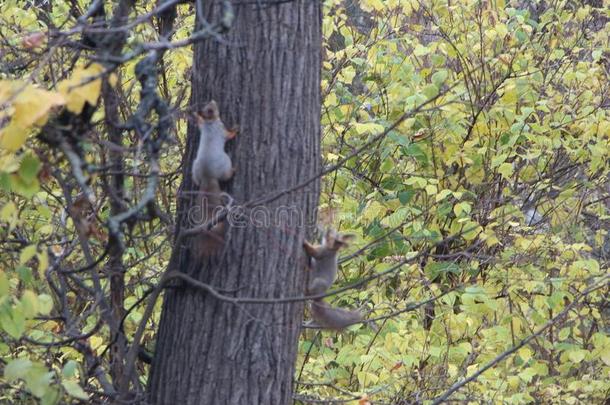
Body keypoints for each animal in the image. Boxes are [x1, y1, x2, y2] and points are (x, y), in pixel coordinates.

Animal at [190, 99, 235, 254]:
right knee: (226, 176)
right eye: (211, 109)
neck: (210, 123)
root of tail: (207, 175)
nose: (213, 100)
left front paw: (195, 116)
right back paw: (234, 170)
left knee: (196, 180)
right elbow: (229, 135)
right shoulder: (221, 129)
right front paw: (236, 129)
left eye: (207, 107)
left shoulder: (203, 125)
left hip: (194, 168)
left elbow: (199, 123)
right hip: (226, 162)